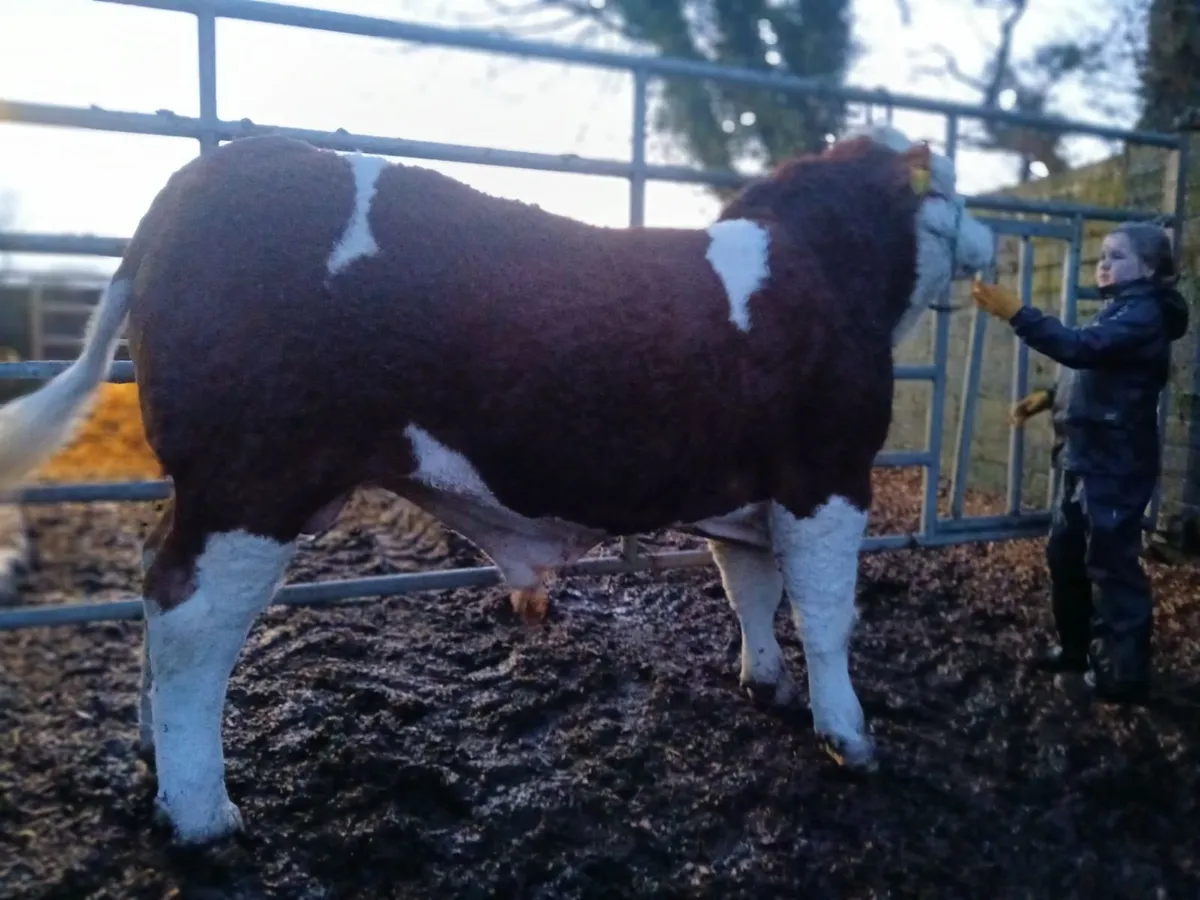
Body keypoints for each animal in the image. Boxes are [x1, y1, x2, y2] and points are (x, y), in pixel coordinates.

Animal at [0, 124, 994, 845]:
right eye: (946, 185)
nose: (991, 233)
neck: (825, 275)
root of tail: (205, 176)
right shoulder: (830, 474)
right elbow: (827, 614)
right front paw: (852, 738)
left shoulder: (745, 494)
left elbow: (750, 591)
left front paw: (768, 686)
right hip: (255, 477)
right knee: (190, 619)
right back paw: (204, 816)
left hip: (213, 487)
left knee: (151, 582)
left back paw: (151, 749)